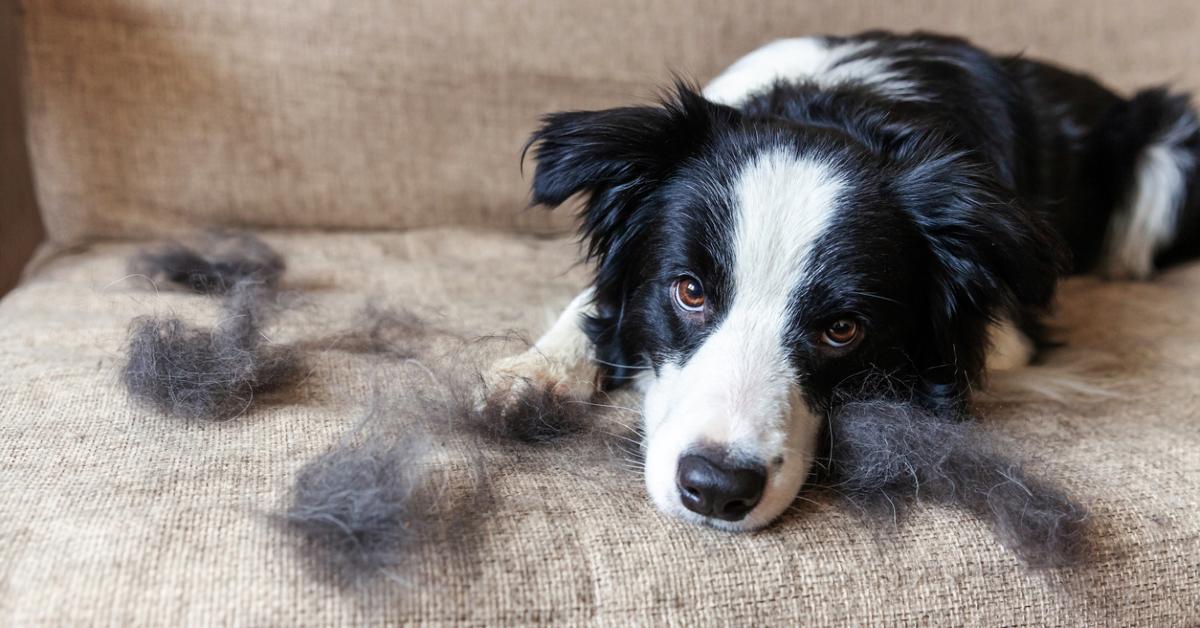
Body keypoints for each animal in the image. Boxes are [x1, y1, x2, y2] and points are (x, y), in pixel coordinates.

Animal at [480, 30, 1200, 530]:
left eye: (843, 329)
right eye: (689, 291)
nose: (716, 490)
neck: (836, 110)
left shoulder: (1010, 331)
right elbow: (594, 304)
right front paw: (535, 373)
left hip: (1167, 155)